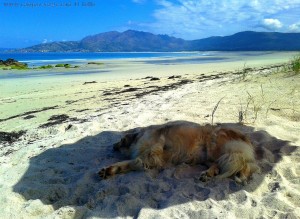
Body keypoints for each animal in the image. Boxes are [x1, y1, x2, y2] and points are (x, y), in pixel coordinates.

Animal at [99, 120, 260, 184]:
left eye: (120, 140)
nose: (112, 146)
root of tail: (245, 138)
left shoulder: (154, 148)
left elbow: (136, 160)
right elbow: (127, 163)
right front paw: (110, 170)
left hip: (222, 148)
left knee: (244, 164)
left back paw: (241, 177)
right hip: (211, 156)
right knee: (220, 164)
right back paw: (208, 174)